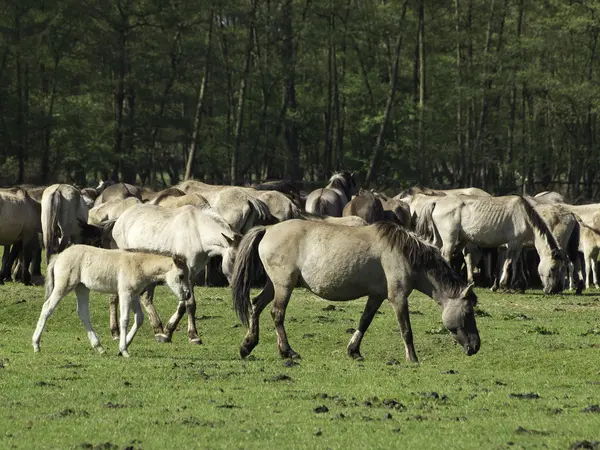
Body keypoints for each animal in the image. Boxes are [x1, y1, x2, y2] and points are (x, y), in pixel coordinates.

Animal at [31, 244, 191, 356]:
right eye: (181, 275)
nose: (188, 295)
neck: (138, 264)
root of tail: (59, 256)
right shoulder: (125, 293)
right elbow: (125, 319)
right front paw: (124, 350)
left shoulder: (134, 295)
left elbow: (139, 318)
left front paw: (125, 344)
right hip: (64, 286)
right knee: (47, 307)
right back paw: (36, 344)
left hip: (82, 288)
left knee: (83, 313)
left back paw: (99, 347)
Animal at [105, 204, 239, 344]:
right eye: (233, 258)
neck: (197, 231)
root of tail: (120, 218)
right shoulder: (185, 273)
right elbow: (188, 303)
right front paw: (191, 335)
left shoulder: (191, 275)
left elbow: (187, 304)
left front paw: (169, 332)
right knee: (114, 297)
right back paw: (116, 333)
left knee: (146, 298)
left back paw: (158, 330)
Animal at [227, 220, 480, 364]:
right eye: (468, 312)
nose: (476, 346)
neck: (405, 253)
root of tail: (268, 228)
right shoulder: (398, 298)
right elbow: (406, 330)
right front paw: (412, 358)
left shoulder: (376, 296)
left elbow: (364, 322)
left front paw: (353, 351)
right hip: (284, 286)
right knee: (277, 314)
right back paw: (288, 352)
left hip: (274, 285)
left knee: (256, 305)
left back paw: (247, 345)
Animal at [414, 195, 564, 294]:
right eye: (553, 269)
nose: (552, 290)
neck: (524, 216)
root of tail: (437, 201)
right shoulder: (513, 244)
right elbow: (509, 263)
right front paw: (505, 285)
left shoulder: (514, 246)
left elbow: (513, 264)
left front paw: (507, 286)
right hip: (449, 240)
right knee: (446, 256)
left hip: (440, 239)